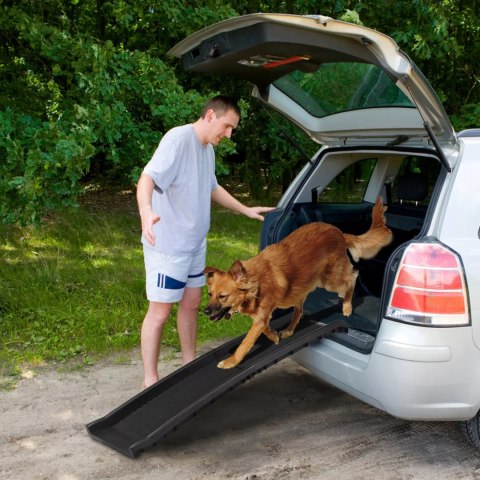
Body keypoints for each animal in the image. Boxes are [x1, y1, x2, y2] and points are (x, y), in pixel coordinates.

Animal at [204, 197, 392, 370]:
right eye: (209, 294)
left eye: (222, 296)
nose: (205, 311)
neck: (255, 283)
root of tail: (338, 231)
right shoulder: (261, 316)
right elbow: (265, 328)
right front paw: (274, 336)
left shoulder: (260, 316)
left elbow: (245, 343)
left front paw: (231, 362)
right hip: (296, 291)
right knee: (300, 309)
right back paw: (289, 329)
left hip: (330, 280)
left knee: (351, 279)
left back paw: (347, 307)